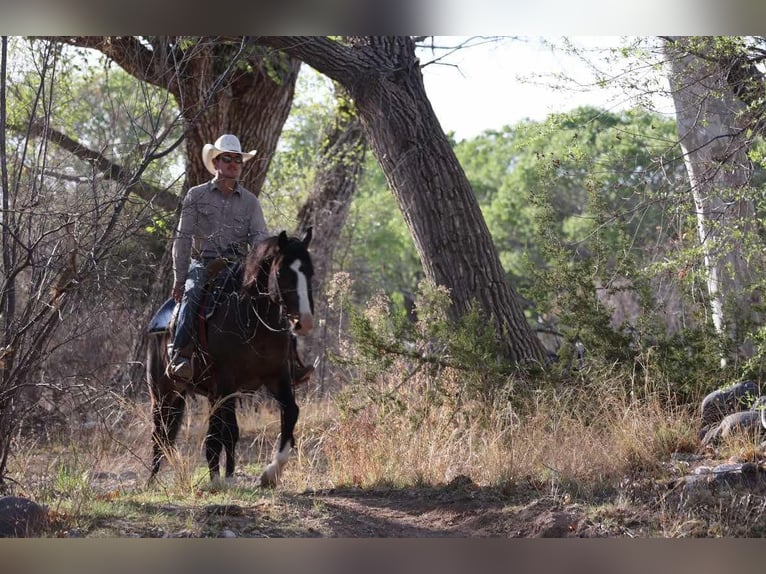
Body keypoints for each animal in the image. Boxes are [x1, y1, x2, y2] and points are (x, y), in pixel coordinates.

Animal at [146, 228, 314, 487]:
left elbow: (290, 412)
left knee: (217, 433)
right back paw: (153, 481)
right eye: (281, 273)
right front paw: (221, 479)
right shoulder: (224, 383)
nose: (303, 322)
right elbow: (221, 433)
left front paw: (271, 473)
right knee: (160, 434)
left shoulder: (277, 376)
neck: (254, 322)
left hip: (208, 394)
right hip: (163, 392)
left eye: (310, 272)